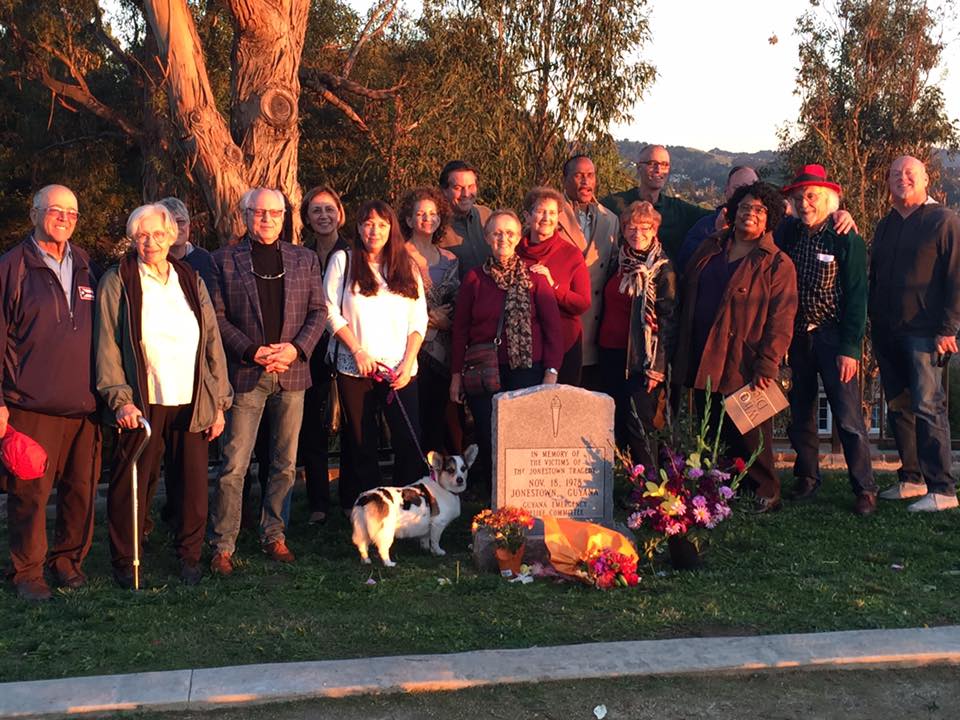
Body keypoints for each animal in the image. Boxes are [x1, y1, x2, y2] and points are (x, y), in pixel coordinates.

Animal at [350, 444, 478, 568]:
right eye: (450, 470)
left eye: (463, 469)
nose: (460, 480)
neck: (441, 485)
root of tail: (366, 498)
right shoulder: (438, 524)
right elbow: (435, 541)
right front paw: (438, 552)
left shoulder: (427, 526)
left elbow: (425, 539)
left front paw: (426, 549)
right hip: (386, 532)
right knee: (382, 549)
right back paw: (389, 563)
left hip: (362, 529)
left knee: (362, 546)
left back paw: (366, 560)